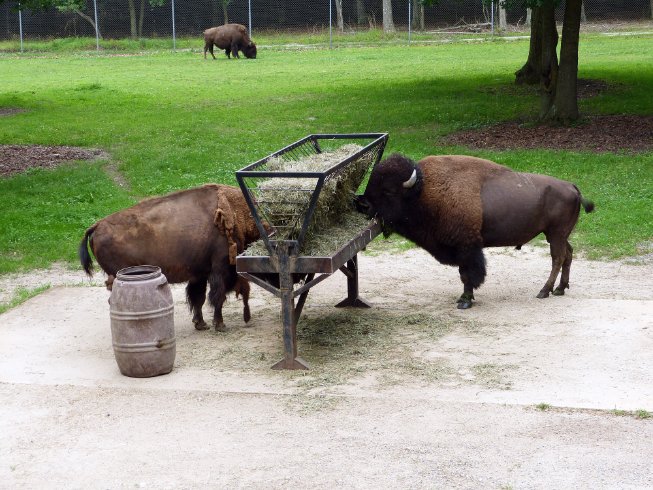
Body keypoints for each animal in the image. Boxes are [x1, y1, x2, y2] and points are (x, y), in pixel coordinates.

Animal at [76, 186, 260, 332]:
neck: (239, 214)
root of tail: (96, 226)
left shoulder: (199, 274)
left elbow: (198, 298)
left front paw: (201, 324)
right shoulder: (219, 269)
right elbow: (217, 296)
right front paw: (220, 325)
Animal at [354, 153, 592, 308]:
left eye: (388, 190)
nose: (363, 204)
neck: (423, 192)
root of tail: (572, 187)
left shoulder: (467, 247)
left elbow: (468, 274)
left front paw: (465, 300)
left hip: (555, 234)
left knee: (557, 258)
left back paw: (544, 291)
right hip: (558, 235)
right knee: (568, 254)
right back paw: (560, 288)